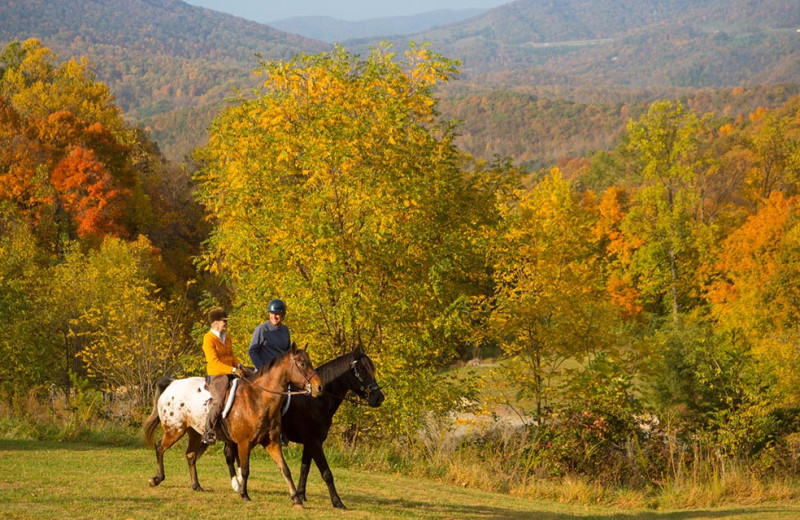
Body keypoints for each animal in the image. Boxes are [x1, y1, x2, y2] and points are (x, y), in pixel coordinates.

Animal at [144, 344, 322, 506]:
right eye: (302, 364)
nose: (319, 387)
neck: (258, 399)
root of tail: (172, 384)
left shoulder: (272, 442)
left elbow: (285, 469)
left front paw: (296, 498)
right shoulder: (244, 443)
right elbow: (245, 469)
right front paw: (244, 494)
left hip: (194, 432)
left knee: (190, 455)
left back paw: (196, 485)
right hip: (175, 430)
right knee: (160, 447)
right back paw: (156, 479)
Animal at [268, 346, 384, 508]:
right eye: (361, 370)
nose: (379, 397)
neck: (314, 400)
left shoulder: (310, 443)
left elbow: (305, 469)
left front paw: (301, 494)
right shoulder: (314, 442)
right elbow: (327, 473)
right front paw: (337, 502)